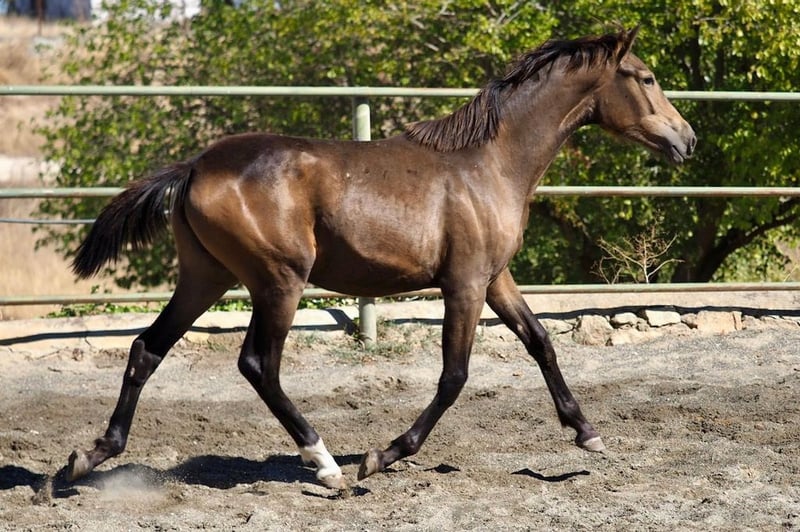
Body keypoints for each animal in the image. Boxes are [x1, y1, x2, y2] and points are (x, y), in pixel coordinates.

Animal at [65, 27, 696, 489]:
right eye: (646, 77)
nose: (686, 140)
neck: (489, 163)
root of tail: (194, 165)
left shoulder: (495, 279)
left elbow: (540, 341)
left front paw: (588, 432)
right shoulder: (464, 284)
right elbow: (454, 375)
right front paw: (382, 455)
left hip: (206, 277)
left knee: (147, 349)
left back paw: (86, 459)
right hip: (278, 281)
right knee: (258, 364)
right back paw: (325, 465)